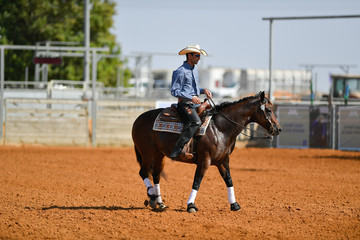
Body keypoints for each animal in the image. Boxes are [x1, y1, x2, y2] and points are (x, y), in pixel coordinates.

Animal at [132, 91, 282, 213]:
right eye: (268, 110)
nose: (278, 129)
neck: (219, 128)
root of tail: (138, 119)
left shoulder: (223, 161)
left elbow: (229, 180)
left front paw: (234, 204)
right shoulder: (204, 160)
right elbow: (197, 181)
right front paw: (191, 205)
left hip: (159, 155)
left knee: (156, 175)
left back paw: (159, 203)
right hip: (147, 153)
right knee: (143, 172)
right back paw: (152, 195)